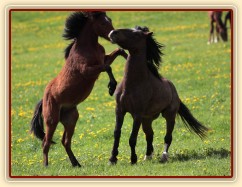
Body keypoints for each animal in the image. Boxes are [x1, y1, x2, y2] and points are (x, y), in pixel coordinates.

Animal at [30, 11, 127, 167]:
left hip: (71, 118)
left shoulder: (103, 59)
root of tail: (43, 99)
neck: (87, 47)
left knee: (65, 141)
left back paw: (76, 163)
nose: (113, 35)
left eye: (110, 19)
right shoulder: (87, 70)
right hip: (52, 119)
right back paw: (46, 165)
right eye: (102, 22)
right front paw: (112, 87)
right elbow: (107, 67)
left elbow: (118, 52)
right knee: (46, 142)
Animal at [108, 25, 208, 164]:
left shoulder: (137, 114)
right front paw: (112, 159)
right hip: (147, 119)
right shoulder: (120, 110)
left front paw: (133, 160)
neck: (132, 84)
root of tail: (173, 88)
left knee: (168, 137)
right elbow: (117, 133)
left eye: (136, 34)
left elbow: (132, 138)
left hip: (169, 115)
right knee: (149, 135)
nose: (113, 32)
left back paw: (164, 156)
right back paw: (148, 156)